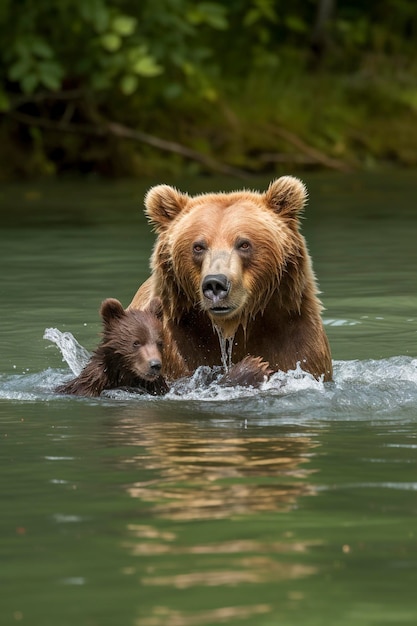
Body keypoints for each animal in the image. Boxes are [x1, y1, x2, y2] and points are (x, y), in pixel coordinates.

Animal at [128, 176, 330, 380]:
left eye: (244, 244)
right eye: (198, 246)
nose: (215, 284)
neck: (234, 326)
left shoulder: (294, 335)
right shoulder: (174, 343)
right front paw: (252, 367)